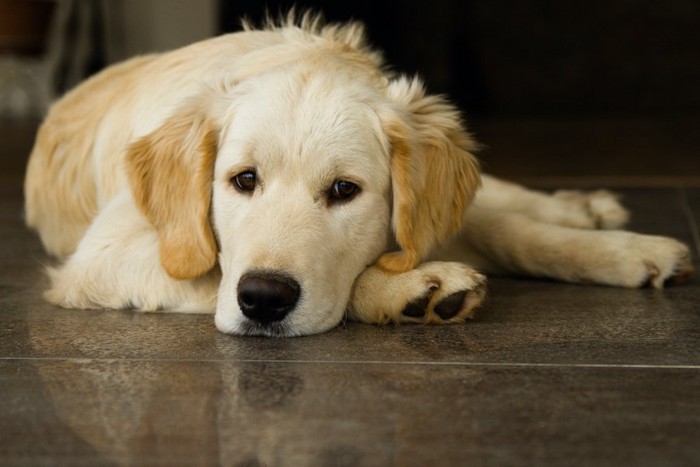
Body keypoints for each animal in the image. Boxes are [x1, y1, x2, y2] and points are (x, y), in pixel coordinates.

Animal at [24, 13, 692, 336]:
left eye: (345, 191)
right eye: (242, 180)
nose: (263, 300)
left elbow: (513, 233)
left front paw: (628, 252)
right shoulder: (98, 259)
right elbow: (214, 269)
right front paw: (411, 290)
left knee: (497, 203)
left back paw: (585, 208)